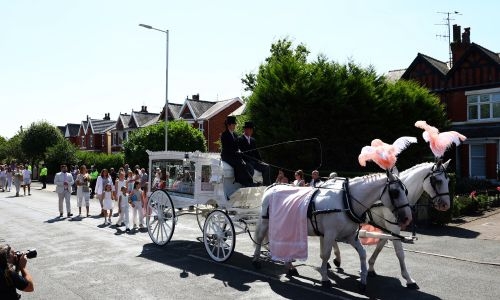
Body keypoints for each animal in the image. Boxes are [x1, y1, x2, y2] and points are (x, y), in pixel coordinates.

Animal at [252, 170, 412, 290]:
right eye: (395, 192)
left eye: (406, 191)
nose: (407, 218)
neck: (346, 200)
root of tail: (272, 187)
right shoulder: (329, 234)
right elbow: (325, 255)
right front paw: (325, 279)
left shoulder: (350, 236)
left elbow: (362, 253)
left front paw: (363, 280)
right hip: (266, 221)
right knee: (259, 238)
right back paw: (256, 260)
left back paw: (290, 267)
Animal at [332, 161, 454, 290]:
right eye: (437, 180)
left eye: (448, 180)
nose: (446, 205)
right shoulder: (394, 228)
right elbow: (400, 253)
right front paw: (408, 279)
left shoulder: (387, 229)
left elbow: (380, 246)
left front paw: (370, 268)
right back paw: (336, 259)